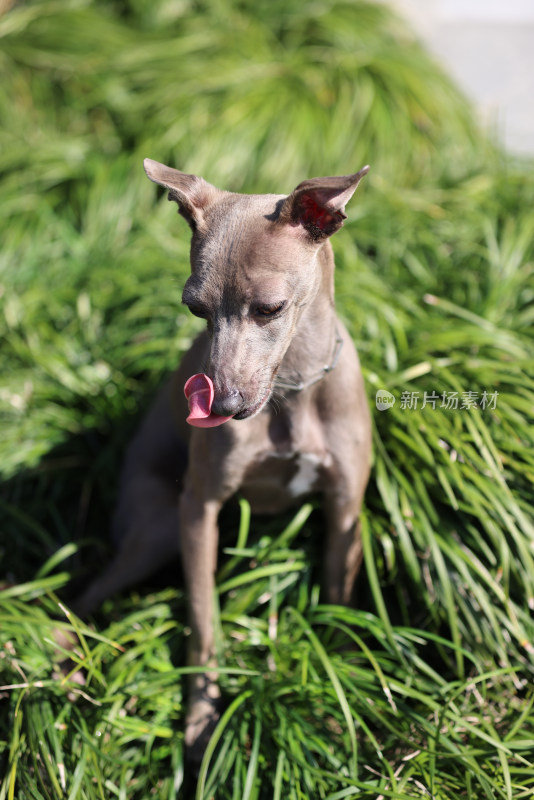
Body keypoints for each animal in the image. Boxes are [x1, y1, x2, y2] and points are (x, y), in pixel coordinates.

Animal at [75, 159, 372, 760]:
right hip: (157, 530)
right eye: (194, 308)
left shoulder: (345, 507)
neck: (290, 394)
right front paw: (201, 719)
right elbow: (203, 618)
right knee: (84, 597)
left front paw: (336, 693)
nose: (221, 407)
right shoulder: (199, 510)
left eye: (270, 309)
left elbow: (336, 594)